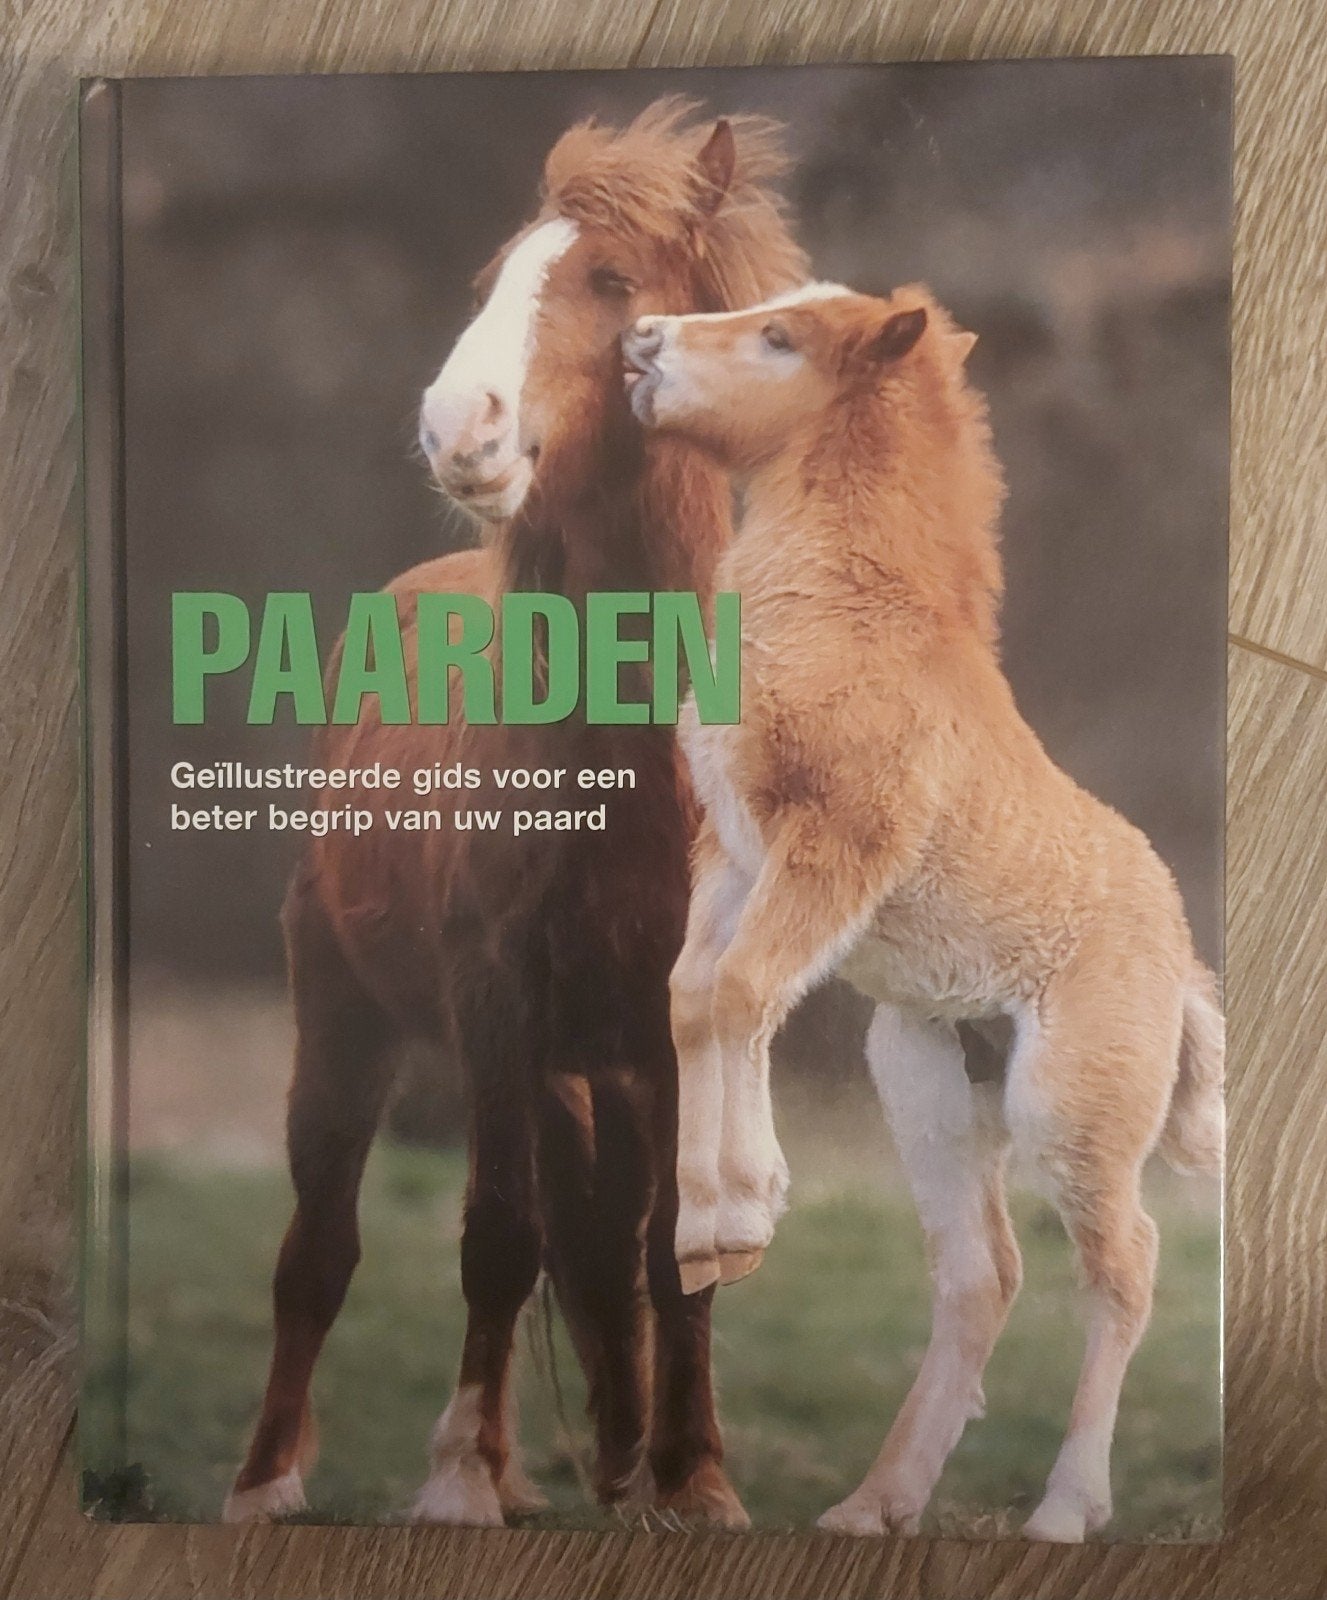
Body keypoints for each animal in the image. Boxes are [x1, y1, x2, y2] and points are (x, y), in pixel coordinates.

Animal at [222, 100, 808, 1527]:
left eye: (614, 280)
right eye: (493, 283)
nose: (460, 426)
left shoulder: (674, 1030)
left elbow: (668, 1256)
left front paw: (693, 1483)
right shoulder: (495, 999)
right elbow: (497, 1234)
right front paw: (457, 1480)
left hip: (592, 1069)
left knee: (603, 1250)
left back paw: (614, 1459)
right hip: (350, 1021)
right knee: (319, 1250)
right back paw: (268, 1481)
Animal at [622, 283, 1223, 1540]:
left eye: (778, 339)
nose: (641, 340)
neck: (850, 613)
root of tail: (1180, 959)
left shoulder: (836, 845)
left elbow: (743, 989)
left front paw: (743, 1216)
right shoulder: (731, 855)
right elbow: (694, 996)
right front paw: (703, 1235)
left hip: (1068, 1104)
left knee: (1127, 1262)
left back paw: (1064, 1508)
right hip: (927, 1081)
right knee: (981, 1272)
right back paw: (873, 1502)